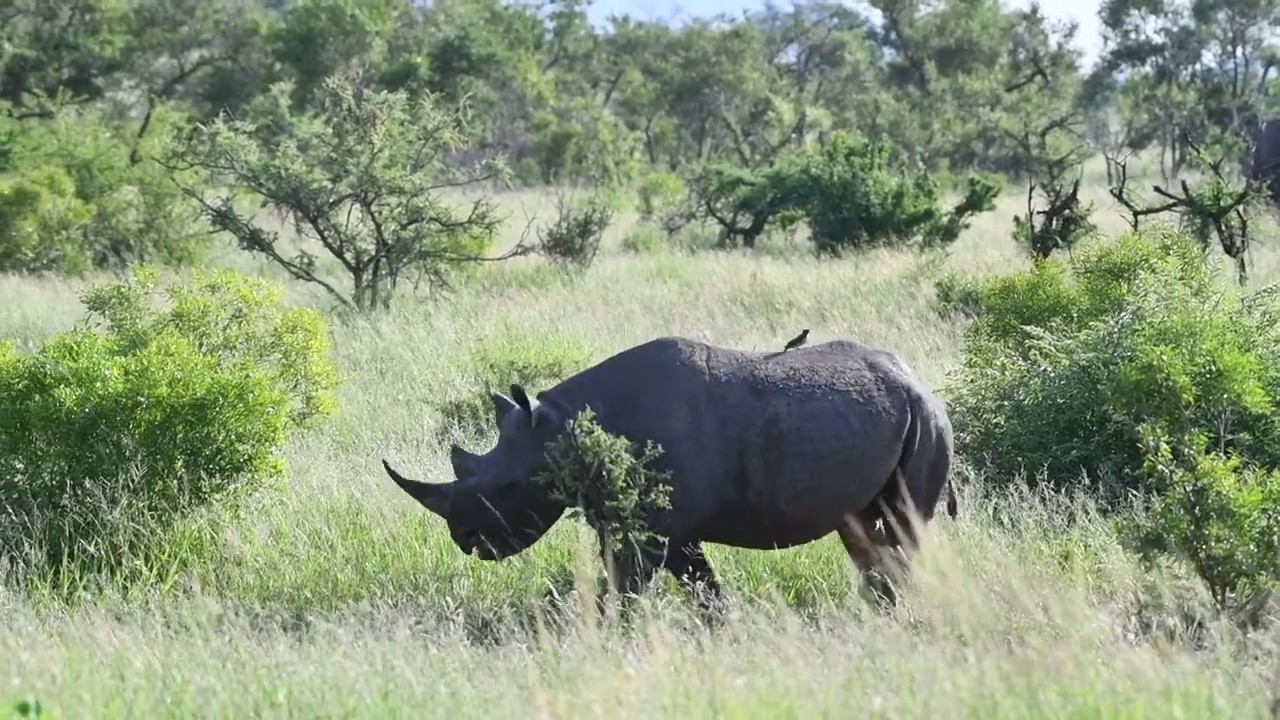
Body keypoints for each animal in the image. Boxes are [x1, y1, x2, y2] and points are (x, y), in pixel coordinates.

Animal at [382, 336, 957, 607]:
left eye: (505, 488)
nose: (466, 541)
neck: (562, 429)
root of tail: (918, 383)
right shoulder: (660, 526)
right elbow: (703, 591)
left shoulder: (654, 530)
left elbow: (629, 588)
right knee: (862, 534)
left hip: (927, 421)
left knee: (901, 530)